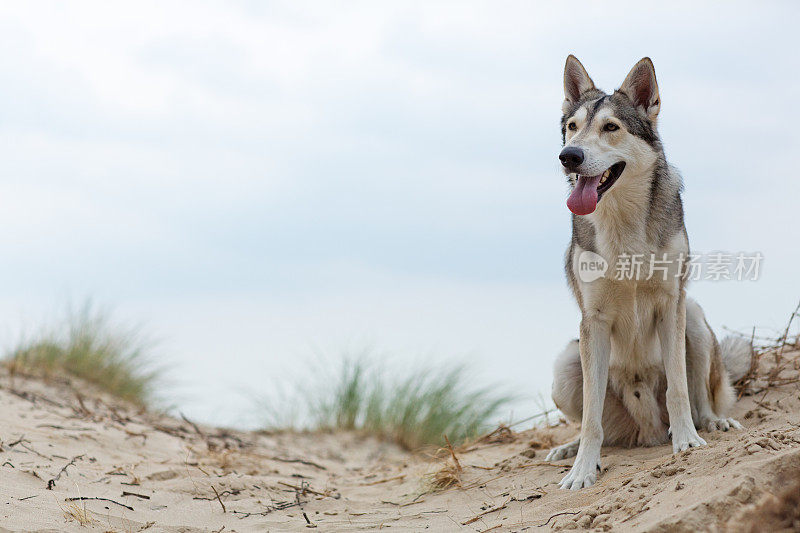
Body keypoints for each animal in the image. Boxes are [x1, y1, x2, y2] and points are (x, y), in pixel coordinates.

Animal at [544, 56, 752, 488]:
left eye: (611, 127)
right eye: (572, 126)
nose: (569, 156)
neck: (623, 225)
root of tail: (647, 432)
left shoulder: (671, 304)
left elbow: (678, 391)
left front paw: (687, 442)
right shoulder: (593, 320)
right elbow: (590, 420)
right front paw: (583, 470)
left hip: (693, 318)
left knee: (702, 400)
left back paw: (710, 424)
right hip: (565, 363)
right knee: (597, 426)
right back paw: (569, 449)